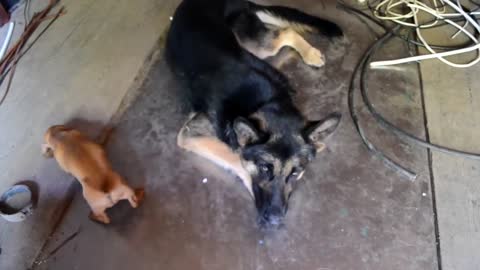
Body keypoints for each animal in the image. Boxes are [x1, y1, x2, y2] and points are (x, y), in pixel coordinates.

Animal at [167, 0, 344, 228]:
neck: (266, 102)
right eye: (264, 169)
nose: (275, 220)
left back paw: (310, 53)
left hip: (254, 45)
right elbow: (234, 156)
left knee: (285, 33)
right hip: (254, 44)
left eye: (295, 172)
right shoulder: (192, 132)